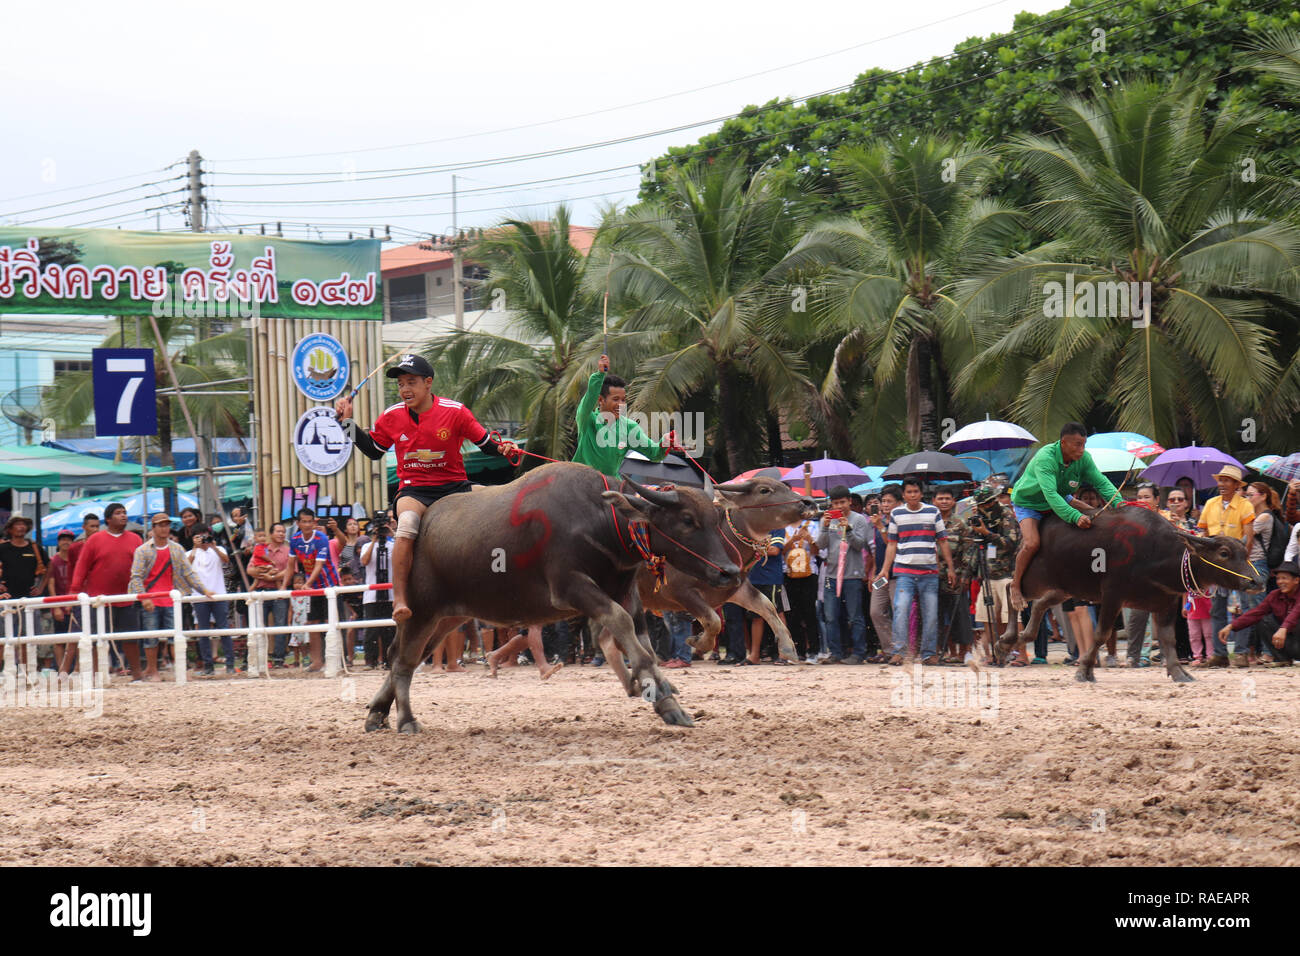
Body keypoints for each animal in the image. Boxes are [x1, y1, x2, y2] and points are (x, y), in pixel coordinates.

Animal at [364, 463, 743, 733]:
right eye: (687, 520)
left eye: (716, 517)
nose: (729, 571)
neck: (602, 521)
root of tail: (416, 529)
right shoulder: (571, 588)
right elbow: (621, 624)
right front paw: (663, 694)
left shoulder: (625, 592)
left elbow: (642, 640)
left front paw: (664, 699)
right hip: (420, 612)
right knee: (404, 660)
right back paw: (406, 720)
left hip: (448, 618)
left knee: (405, 655)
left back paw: (377, 712)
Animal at [637, 476, 811, 660]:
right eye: (764, 490)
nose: (809, 502)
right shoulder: (677, 591)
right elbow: (714, 621)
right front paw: (697, 642)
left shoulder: (736, 590)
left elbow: (767, 606)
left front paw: (787, 647)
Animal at [998, 504, 1263, 686]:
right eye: (1224, 553)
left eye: (1245, 553)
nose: (1257, 581)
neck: (1157, 553)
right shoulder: (1112, 596)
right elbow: (1101, 634)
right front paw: (1084, 671)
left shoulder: (1166, 603)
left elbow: (1168, 639)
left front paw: (1179, 672)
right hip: (1035, 578)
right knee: (1011, 589)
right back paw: (1007, 638)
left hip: (1064, 589)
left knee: (1040, 604)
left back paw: (1022, 636)